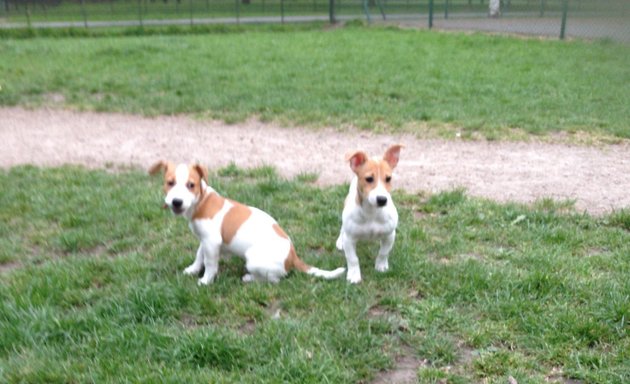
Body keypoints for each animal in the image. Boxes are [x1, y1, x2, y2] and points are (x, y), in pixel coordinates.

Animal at [149, 160, 346, 284]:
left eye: (191, 185)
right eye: (170, 183)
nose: (176, 202)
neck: (201, 202)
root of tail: (293, 258)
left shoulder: (212, 242)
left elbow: (210, 264)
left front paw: (205, 281)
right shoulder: (204, 240)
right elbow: (199, 256)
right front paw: (192, 270)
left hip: (253, 260)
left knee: (274, 279)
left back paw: (249, 278)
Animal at [336, 144, 404, 282]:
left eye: (388, 179)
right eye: (369, 179)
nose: (382, 199)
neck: (372, 213)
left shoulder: (390, 235)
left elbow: (383, 252)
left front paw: (381, 266)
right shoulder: (349, 239)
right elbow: (352, 259)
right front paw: (354, 275)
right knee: (342, 228)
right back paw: (340, 241)